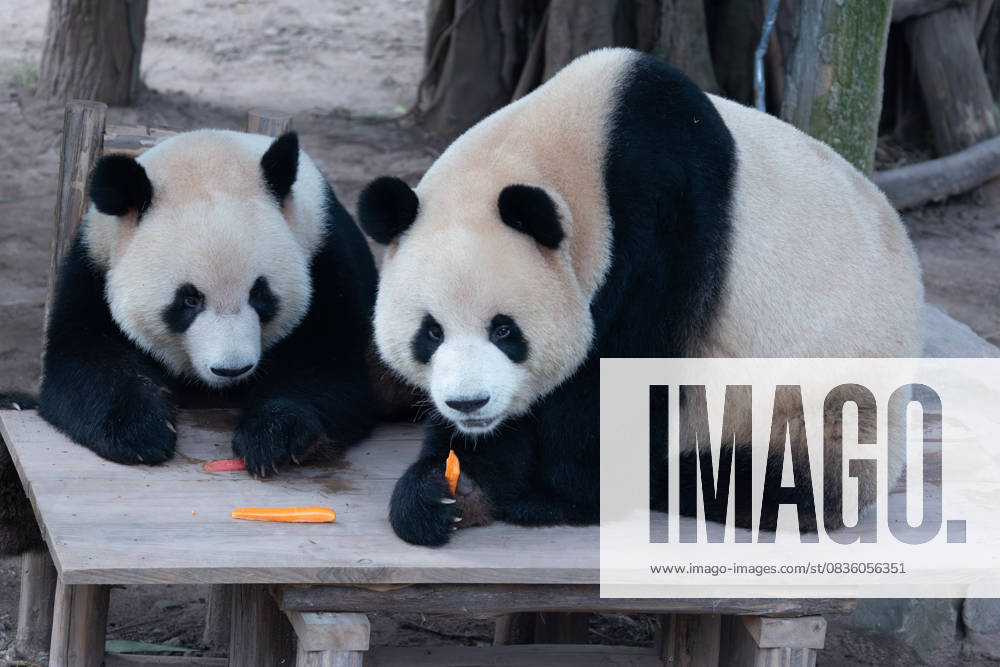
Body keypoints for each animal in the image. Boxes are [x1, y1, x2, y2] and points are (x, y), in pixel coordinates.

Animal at [39, 130, 378, 476]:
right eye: (189, 300)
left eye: (259, 294)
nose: (231, 369)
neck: (209, 157)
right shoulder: (94, 269)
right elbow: (88, 363)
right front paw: (140, 431)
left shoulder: (324, 256)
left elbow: (326, 370)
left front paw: (272, 436)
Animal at [357, 48, 925, 546]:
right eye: (431, 333)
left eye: (504, 330)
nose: (468, 403)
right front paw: (444, 491)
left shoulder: (664, 221)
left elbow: (620, 376)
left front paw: (552, 495)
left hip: (827, 398)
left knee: (788, 476)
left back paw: (682, 479)